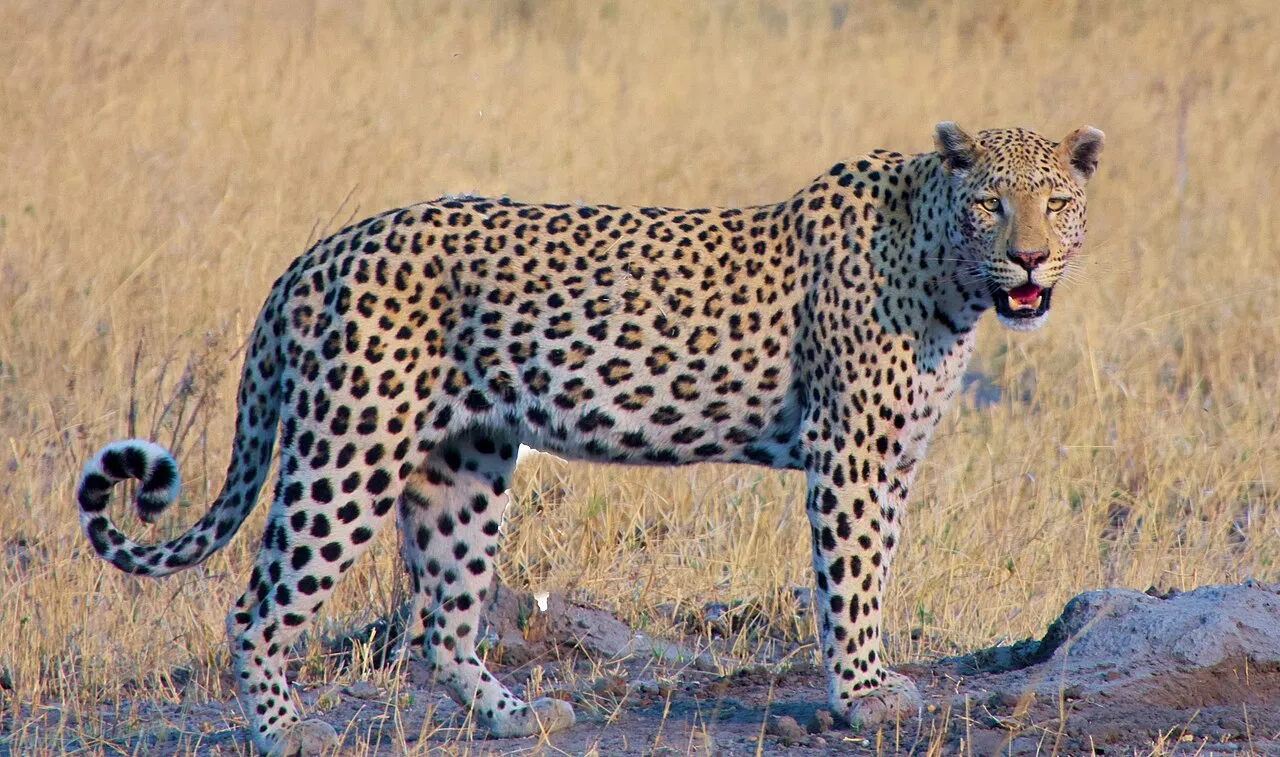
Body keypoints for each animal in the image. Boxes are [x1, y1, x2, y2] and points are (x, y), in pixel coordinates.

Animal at [75, 122, 1103, 755]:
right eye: (991, 204)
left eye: (1056, 202)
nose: (1030, 259)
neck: (948, 276)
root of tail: (316, 253)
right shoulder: (850, 457)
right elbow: (850, 580)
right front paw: (863, 695)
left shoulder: (890, 459)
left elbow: (875, 572)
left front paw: (870, 682)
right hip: (348, 448)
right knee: (258, 606)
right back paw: (285, 730)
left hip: (463, 466)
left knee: (440, 621)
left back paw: (516, 716)